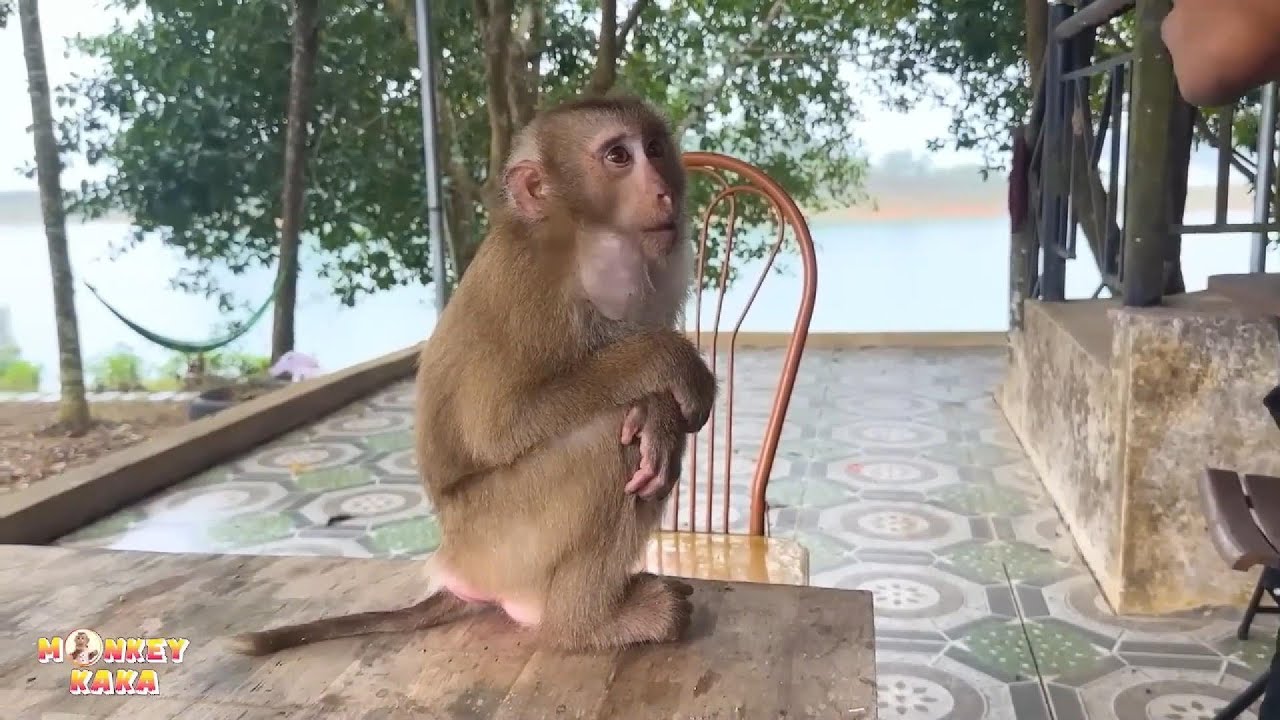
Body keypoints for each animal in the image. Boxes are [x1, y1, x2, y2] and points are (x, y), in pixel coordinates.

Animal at [229, 94, 718, 657]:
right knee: (604, 443)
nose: (664, 190)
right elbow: (497, 425)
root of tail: (454, 566)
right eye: (618, 156)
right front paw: (666, 370)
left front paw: (660, 410)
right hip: (497, 539)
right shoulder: (528, 289)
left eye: (655, 148)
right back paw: (586, 625)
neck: (581, 238)